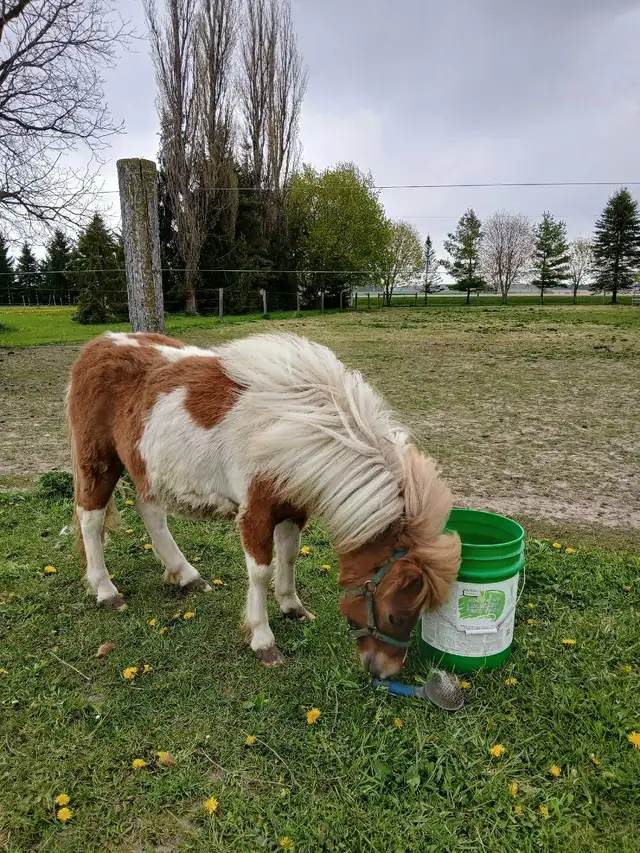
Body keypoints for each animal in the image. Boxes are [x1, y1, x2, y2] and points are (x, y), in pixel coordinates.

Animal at [66, 330, 461, 679]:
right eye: (396, 616)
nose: (384, 670)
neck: (296, 428)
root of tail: (96, 346)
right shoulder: (256, 512)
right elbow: (260, 571)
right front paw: (263, 640)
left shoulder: (294, 508)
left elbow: (288, 555)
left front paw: (292, 606)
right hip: (99, 462)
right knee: (90, 519)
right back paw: (105, 590)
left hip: (148, 468)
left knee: (151, 514)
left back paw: (187, 576)